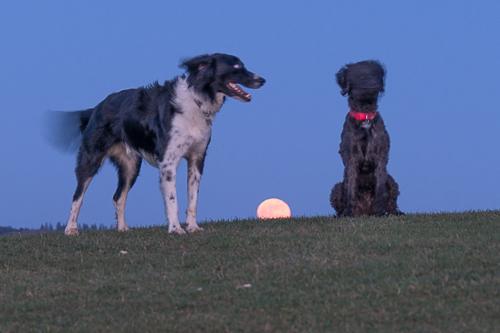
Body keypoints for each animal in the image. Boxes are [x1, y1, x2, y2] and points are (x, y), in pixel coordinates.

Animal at [50, 53, 266, 233]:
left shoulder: (197, 158)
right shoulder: (168, 161)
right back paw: (71, 229)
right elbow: (172, 200)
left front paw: (193, 228)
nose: (263, 80)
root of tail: (96, 107)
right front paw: (176, 229)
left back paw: (123, 229)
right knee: (78, 196)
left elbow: (193, 199)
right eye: (236, 66)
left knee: (118, 197)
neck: (196, 100)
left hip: (131, 167)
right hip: (92, 159)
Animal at [330, 60, 404, 217]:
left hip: (392, 181)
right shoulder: (351, 158)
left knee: (391, 202)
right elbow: (350, 187)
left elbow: (380, 189)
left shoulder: (380, 157)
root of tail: (365, 212)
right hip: (337, 187)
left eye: (373, 74)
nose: (370, 84)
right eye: (358, 76)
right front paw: (348, 212)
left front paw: (380, 212)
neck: (364, 116)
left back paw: (394, 212)